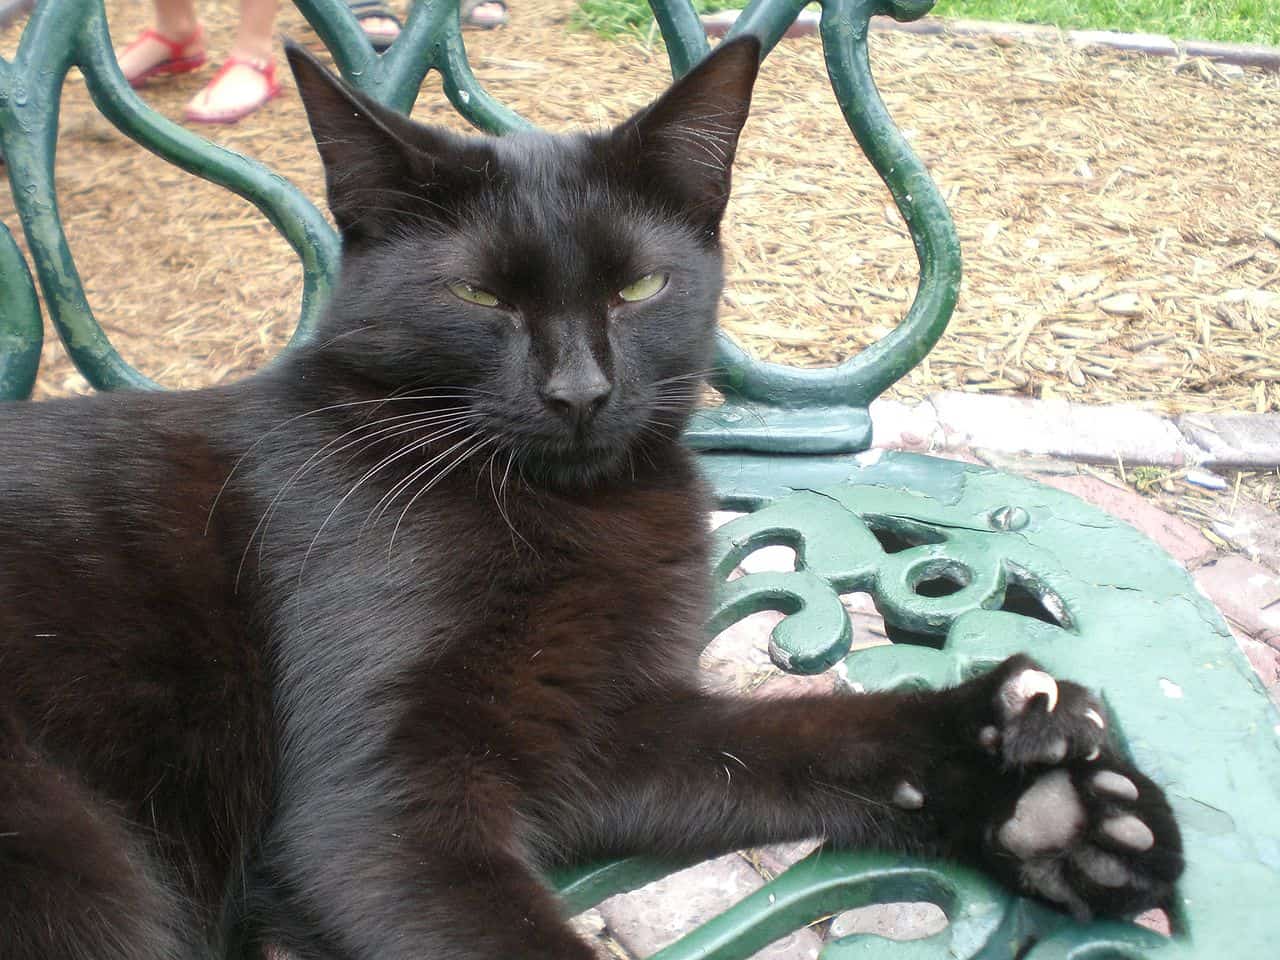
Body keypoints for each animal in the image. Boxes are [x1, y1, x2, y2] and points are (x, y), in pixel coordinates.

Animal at [0, 37, 1177, 960]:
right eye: (480, 295)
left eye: (637, 288)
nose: (577, 391)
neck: (568, 515)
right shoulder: (375, 810)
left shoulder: (606, 727)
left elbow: (798, 739)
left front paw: (1036, 790)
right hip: (80, 857)